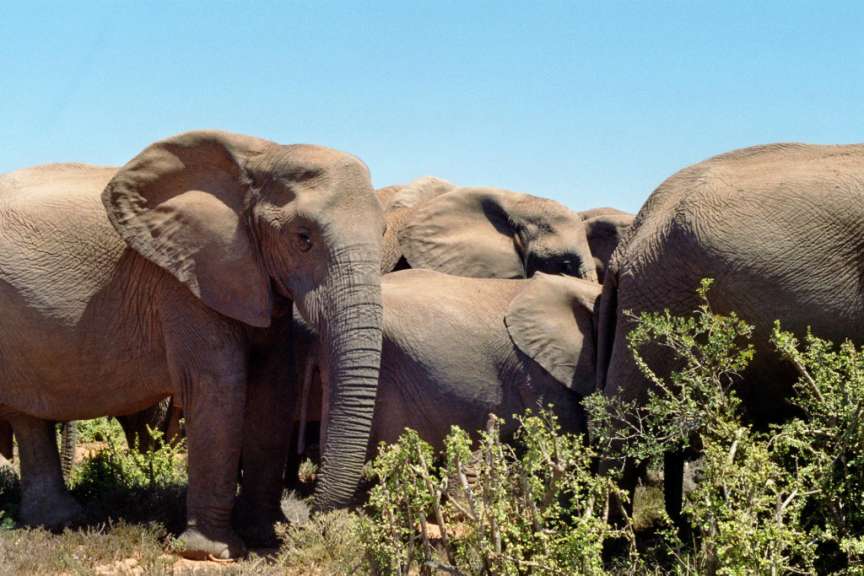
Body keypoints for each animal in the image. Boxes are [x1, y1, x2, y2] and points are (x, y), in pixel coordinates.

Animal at [0, 130, 385, 559]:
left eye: (385, 232)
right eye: (303, 239)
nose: (312, 518)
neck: (264, 154)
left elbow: (272, 388)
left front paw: (263, 536)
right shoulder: (186, 279)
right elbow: (219, 386)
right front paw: (211, 552)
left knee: (28, 417)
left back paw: (58, 520)